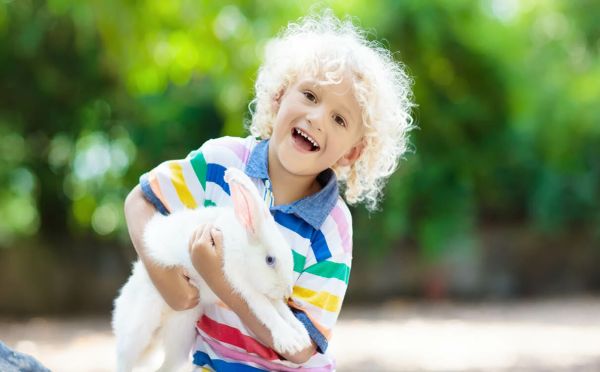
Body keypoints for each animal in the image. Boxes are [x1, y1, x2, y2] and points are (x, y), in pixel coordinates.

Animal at [110, 168, 312, 372]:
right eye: (270, 260)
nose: (287, 291)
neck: (242, 248)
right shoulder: (242, 285)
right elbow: (266, 310)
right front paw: (289, 342)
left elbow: (284, 311)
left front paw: (302, 337)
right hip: (138, 329)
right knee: (124, 359)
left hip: (181, 332)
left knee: (169, 364)